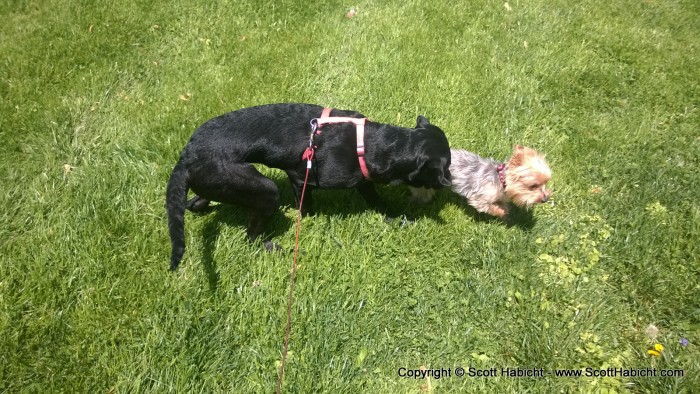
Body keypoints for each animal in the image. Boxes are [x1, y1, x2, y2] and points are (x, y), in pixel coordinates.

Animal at [167, 103, 452, 270]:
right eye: (446, 165)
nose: (450, 180)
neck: (373, 143)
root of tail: (186, 155)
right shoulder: (300, 177)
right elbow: (308, 205)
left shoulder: (363, 181)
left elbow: (377, 200)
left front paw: (396, 217)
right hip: (265, 190)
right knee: (251, 236)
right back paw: (276, 248)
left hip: (221, 181)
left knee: (197, 202)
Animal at [410, 145, 552, 220]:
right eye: (533, 186)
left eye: (545, 183)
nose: (545, 199)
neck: (500, 180)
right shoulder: (480, 198)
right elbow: (489, 207)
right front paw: (502, 213)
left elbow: (503, 204)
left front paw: (505, 210)